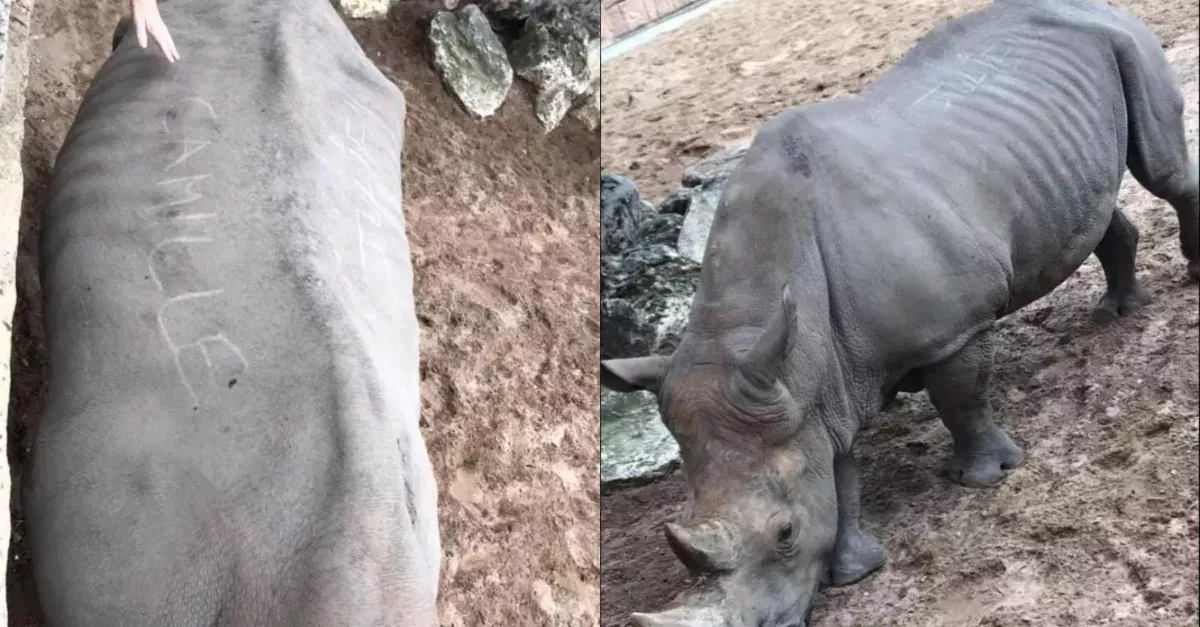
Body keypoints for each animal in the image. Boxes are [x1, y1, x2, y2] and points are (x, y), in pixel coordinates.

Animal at [600, 0, 1198, 625]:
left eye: (784, 533)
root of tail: (1096, 8)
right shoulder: (804, 390)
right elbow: (837, 475)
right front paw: (852, 573)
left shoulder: (951, 331)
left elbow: (960, 400)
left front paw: (981, 478)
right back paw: (1117, 314)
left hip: (1121, 41)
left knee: (1163, 172)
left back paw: (1185, 279)